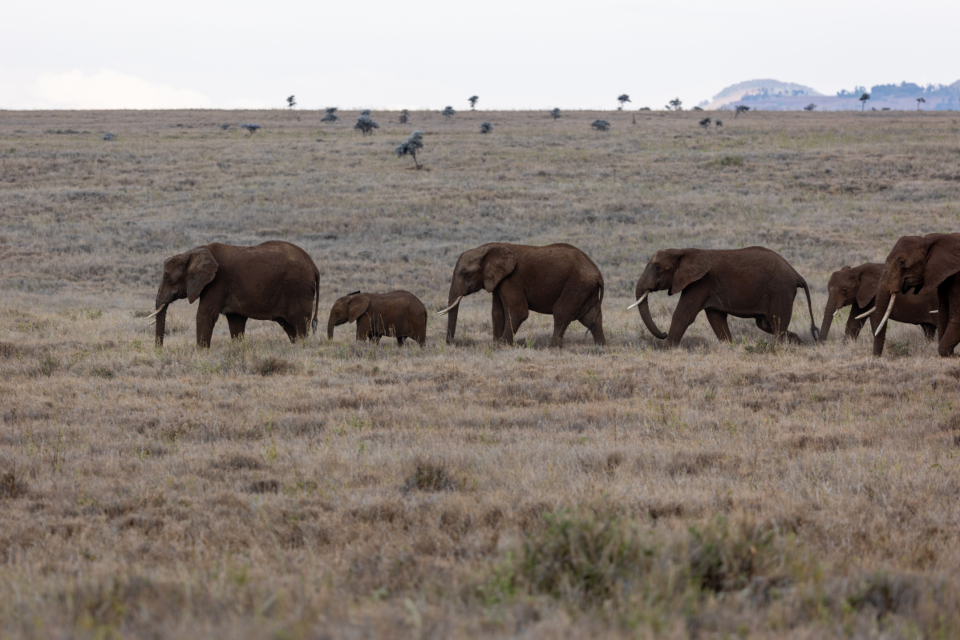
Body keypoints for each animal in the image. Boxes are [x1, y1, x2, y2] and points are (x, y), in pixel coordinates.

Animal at [148, 241, 320, 347]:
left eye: (169, 280)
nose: (159, 350)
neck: (191, 254)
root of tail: (314, 267)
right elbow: (236, 321)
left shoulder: (217, 281)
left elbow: (205, 315)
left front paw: (200, 353)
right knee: (291, 328)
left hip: (299, 289)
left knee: (300, 324)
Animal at [439, 242, 606, 347]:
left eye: (465, 273)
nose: (450, 344)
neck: (485, 248)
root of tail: (598, 272)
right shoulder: (498, 280)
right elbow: (497, 312)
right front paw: (496, 345)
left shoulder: (512, 278)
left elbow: (518, 312)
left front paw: (503, 345)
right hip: (584, 289)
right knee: (591, 318)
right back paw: (601, 347)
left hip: (576, 285)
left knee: (561, 313)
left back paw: (552, 348)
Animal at [630, 246, 819, 346]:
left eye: (656, 267)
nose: (662, 333)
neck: (684, 250)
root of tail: (796, 274)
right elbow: (716, 319)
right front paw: (729, 345)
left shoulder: (700, 283)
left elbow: (683, 315)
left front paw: (668, 348)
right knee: (767, 324)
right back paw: (797, 342)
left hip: (780, 290)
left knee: (776, 324)